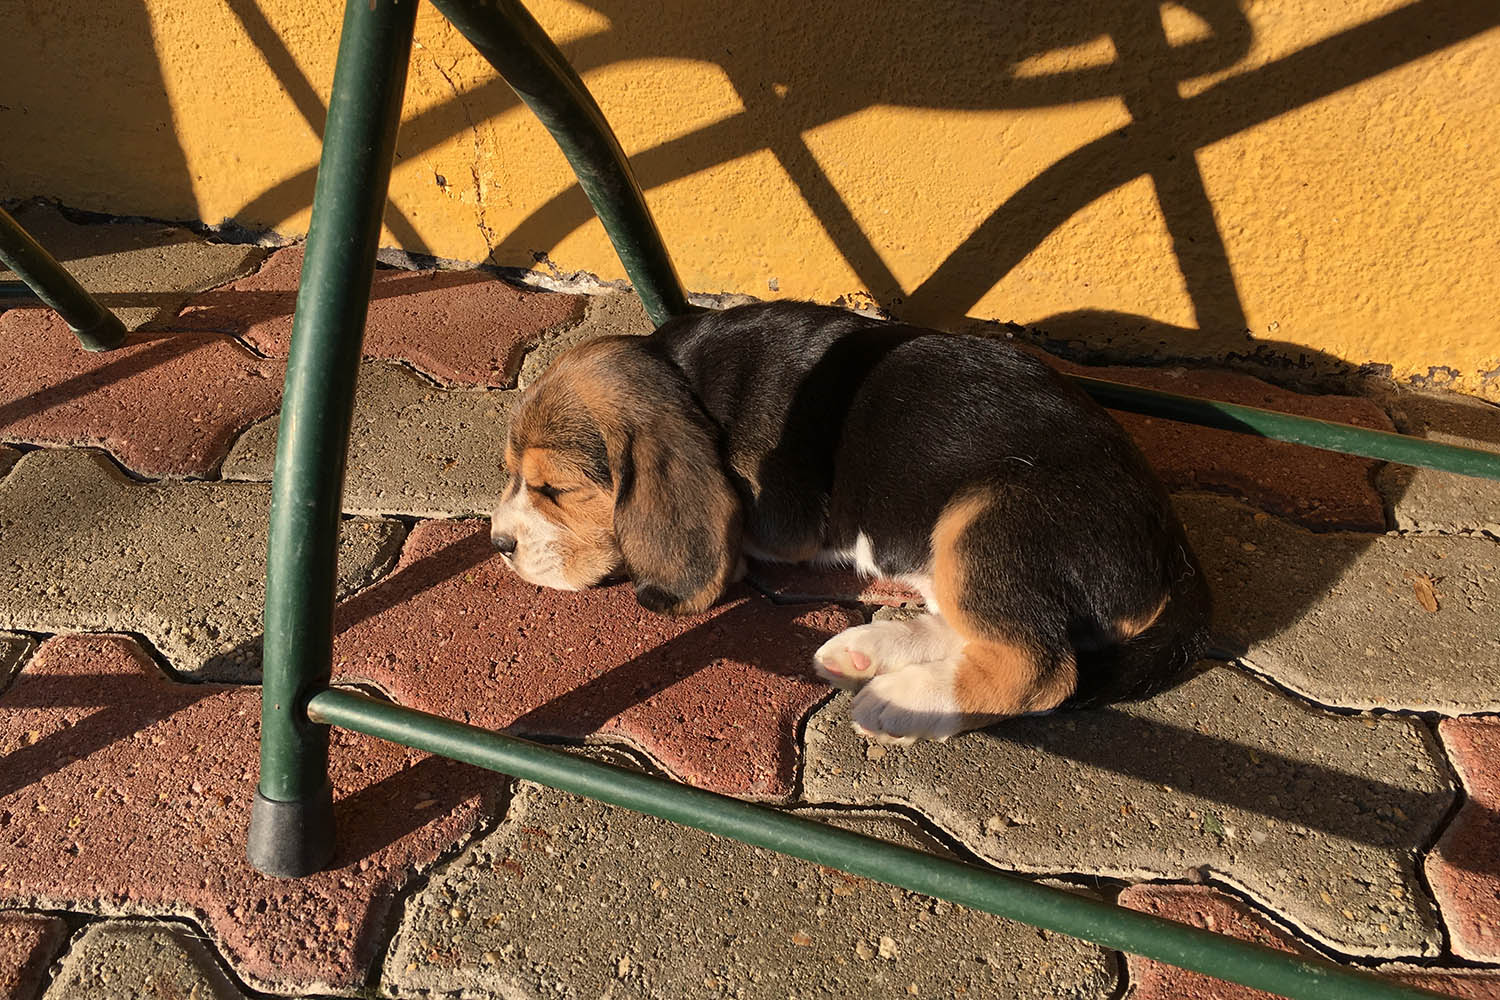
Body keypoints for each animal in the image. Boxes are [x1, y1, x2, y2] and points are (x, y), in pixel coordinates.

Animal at [498, 302, 1212, 743]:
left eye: (555, 488)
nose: (499, 543)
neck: (692, 381)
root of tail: (1175, 551)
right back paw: (870, 650)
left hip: (989, 518)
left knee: (1040, 666)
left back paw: (902, 699)